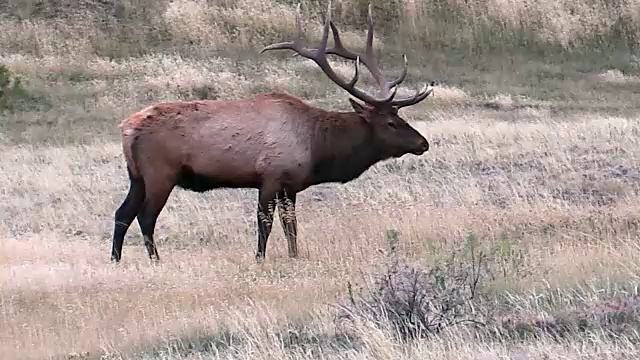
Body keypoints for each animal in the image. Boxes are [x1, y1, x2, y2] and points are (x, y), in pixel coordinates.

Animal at [110, 1, 432, 262]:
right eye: (390, 123)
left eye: (400, 116)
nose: (423, 143)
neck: (317, 147)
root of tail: (127, 128)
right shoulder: (270, 176)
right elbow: (265, 223)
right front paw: (260, 258)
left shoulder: (291, 186)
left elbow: (291, 225)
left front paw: (294, 256)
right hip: (160, 172)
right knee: (145, 216)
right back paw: (155, 260)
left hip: (136, 175)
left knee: (122, 213)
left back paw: (115, 259)